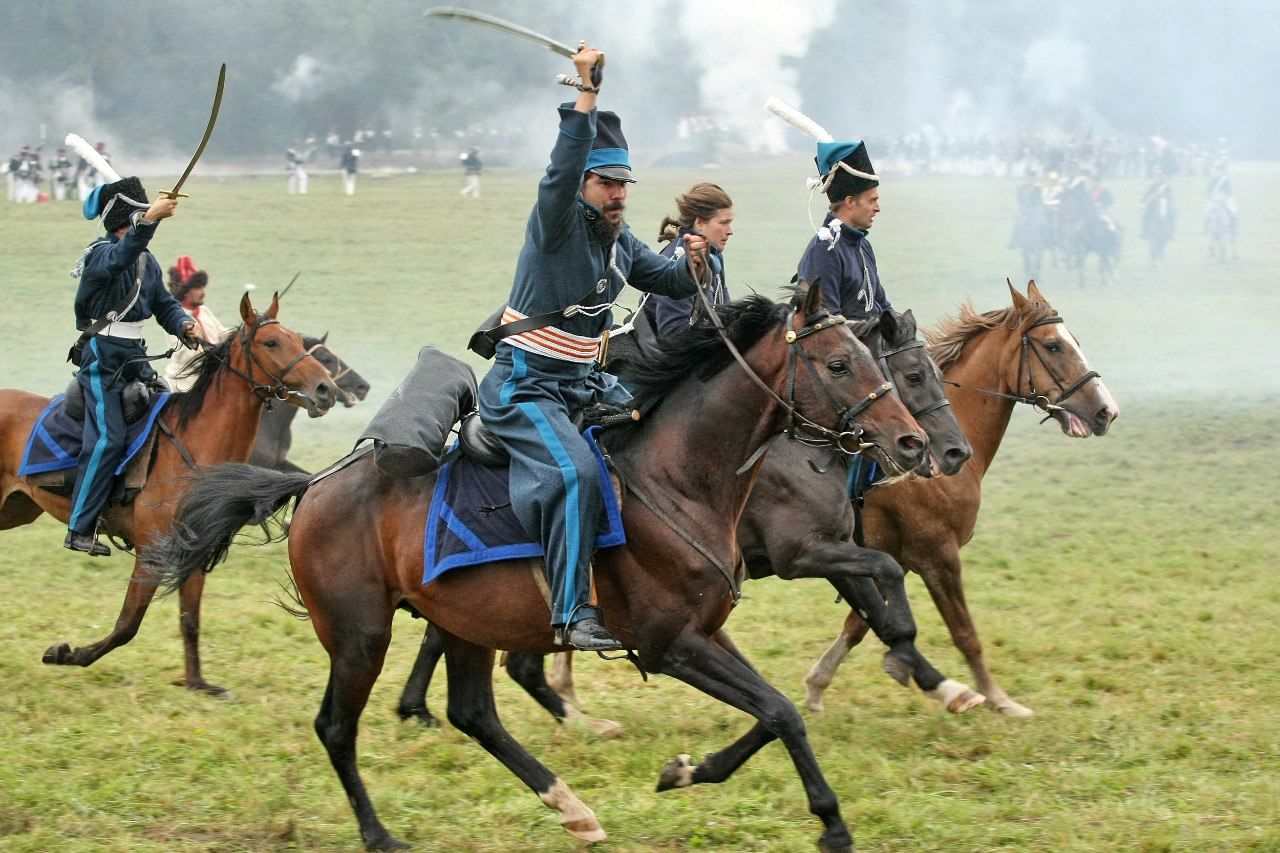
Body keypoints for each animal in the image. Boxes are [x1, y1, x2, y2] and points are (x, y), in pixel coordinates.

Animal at [0, 292, 337, 691]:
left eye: (299, 341)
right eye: (271, 343)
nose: (326, 390)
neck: (193, 446)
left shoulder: (196, 549)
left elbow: (189, 620)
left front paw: (197, 682)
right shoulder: (152, 553)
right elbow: (127, 624)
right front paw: (67, 654)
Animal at [394, 307, 983, 737]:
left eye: (932, 373)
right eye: (911, 374)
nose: (937, 449)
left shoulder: (832, 551)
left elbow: (877, 603)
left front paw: (931, 678)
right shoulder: (805, 554)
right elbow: (885, 582)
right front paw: (935, 677)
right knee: (508, 653)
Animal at [808, 279, 1121, 712]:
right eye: (1053, 346)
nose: (1106, 410)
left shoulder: (894, 559)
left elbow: (861, 623)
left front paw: (817, 684)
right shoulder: (938, 557)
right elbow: (964, 633)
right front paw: (996, 699)